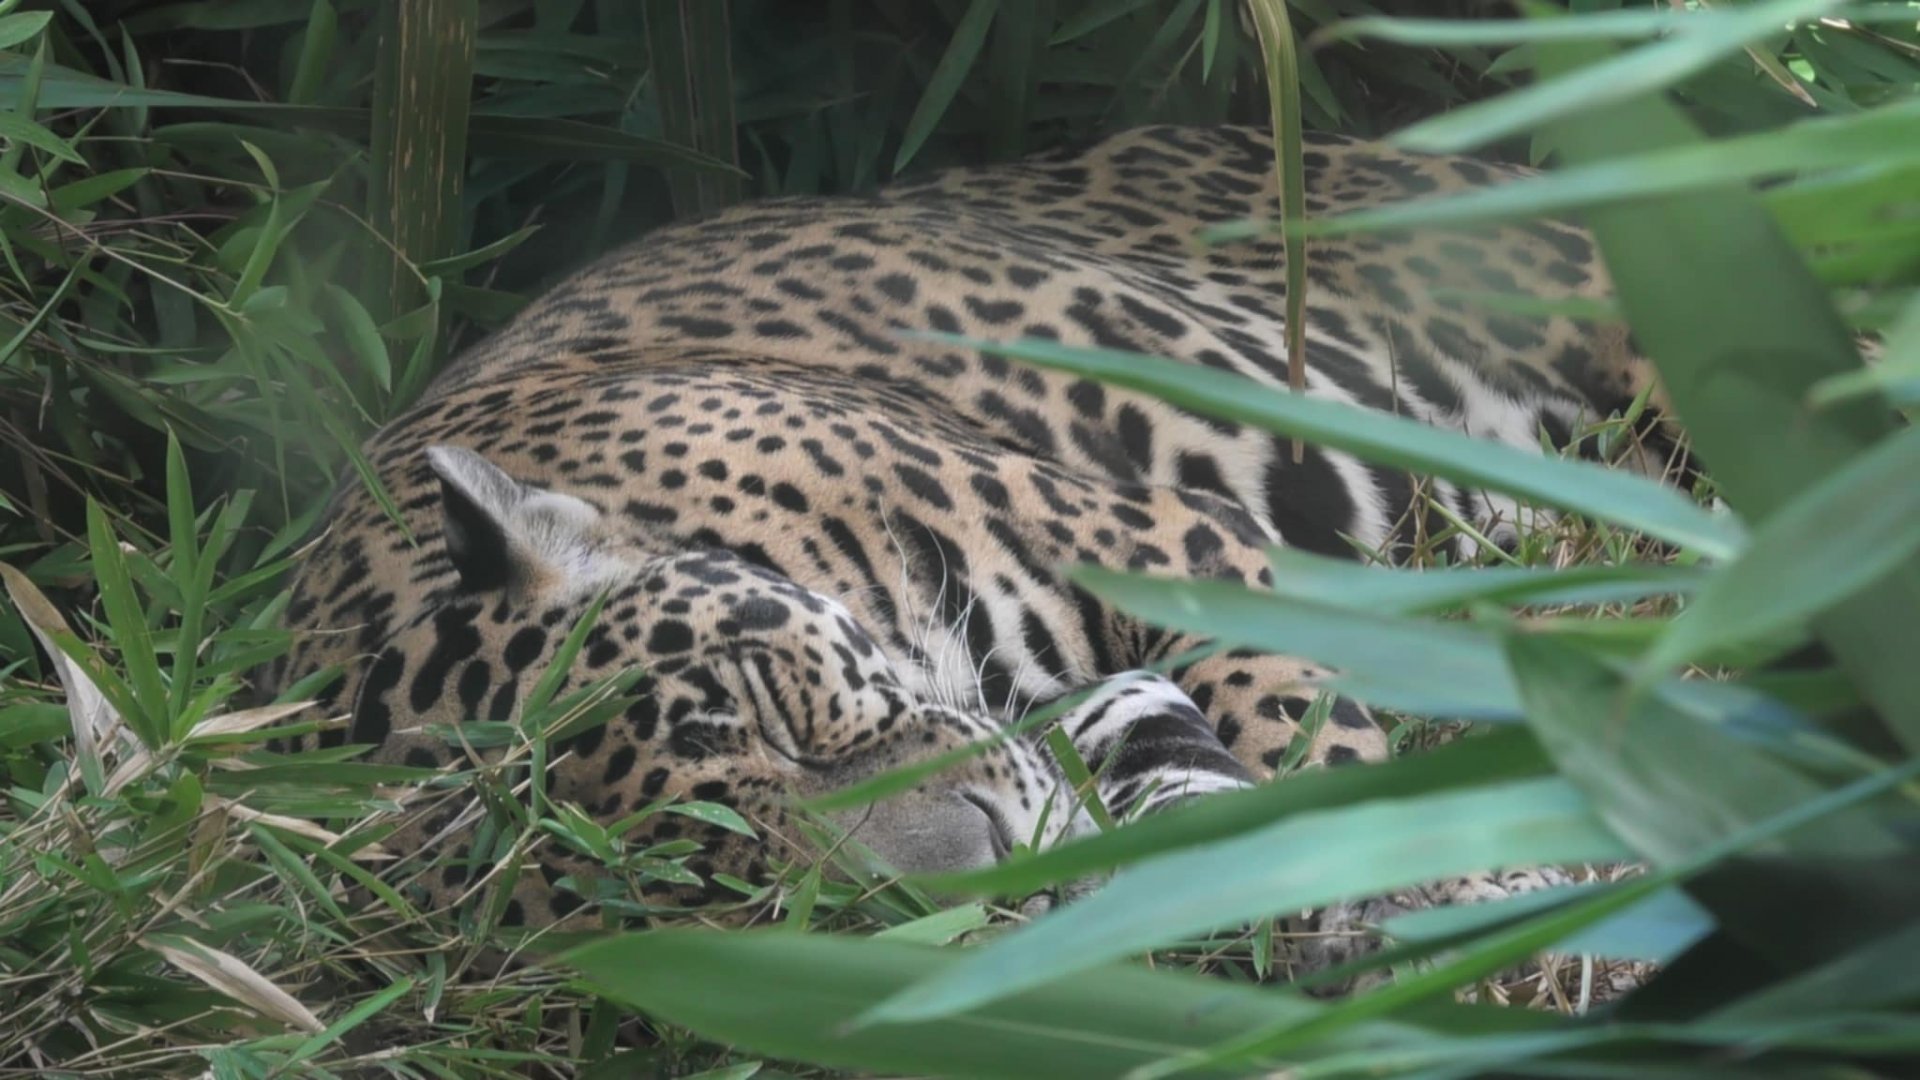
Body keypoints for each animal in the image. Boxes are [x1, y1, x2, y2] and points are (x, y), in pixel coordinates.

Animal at [259, 125, 1671, 979]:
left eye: (772, 710)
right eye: (742, 901)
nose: (999, 864)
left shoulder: (1175, 543)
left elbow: (1304, 734)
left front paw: (1440, 899)